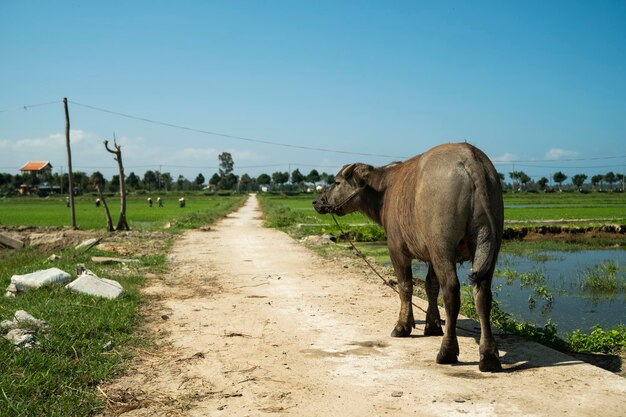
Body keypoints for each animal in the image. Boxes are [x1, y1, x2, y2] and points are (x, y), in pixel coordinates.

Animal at [312, 142, 502, 370]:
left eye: (337, 182)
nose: (317, 202)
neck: (384, 191)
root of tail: (470, 157)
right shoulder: (430, 256)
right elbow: (430, 286)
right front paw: (432, 325)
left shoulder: (397, 250)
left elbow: (405, 286)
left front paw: (403, 326)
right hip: (487, 243)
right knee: (482, 293)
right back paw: (489, 356)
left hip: (443, 246)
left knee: (451, 291)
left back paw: (446, 351)